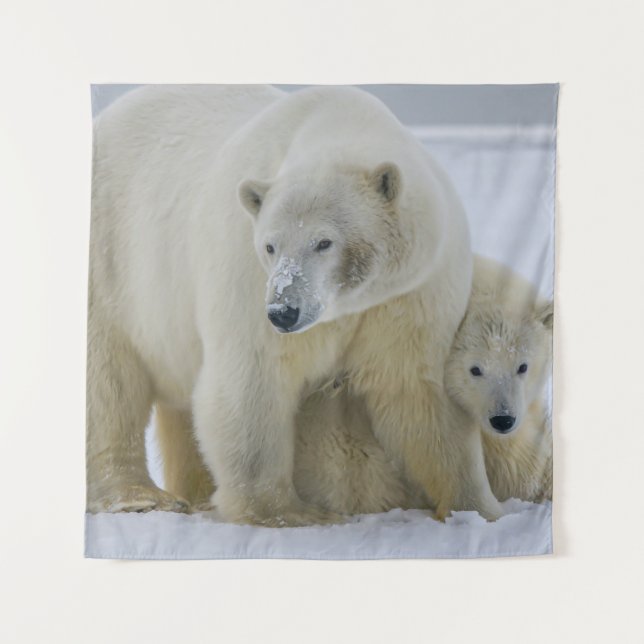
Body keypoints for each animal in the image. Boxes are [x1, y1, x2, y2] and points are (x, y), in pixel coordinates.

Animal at [88, 84, 502, 525]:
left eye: (324, 242)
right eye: (270, 245)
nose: (284, 312)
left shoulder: (412, 290)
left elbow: (418, 390)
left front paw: (477, 508)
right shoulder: (248, 274)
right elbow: (254, 380)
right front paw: (290, 513)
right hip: (114, 258)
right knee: (108, 382)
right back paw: (138, 496)